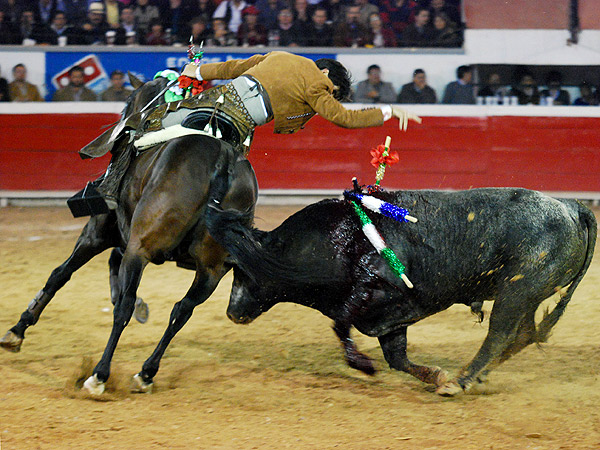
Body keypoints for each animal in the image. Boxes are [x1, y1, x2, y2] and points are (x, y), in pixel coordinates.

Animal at [0, 73, 258, 394]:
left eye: (127, 101)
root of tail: (222, 160)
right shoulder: (125, 238)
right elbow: (111, 266)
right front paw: (142, 309)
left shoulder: (97, 233)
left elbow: (61, 274)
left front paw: (17, 331)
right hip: (211, 269)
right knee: (181, 311)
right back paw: (146, 373)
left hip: (142, 249)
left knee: (123, 308)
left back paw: (99, 375)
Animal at [206, 188, 596, 396]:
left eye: (242, 270)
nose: (232, 312)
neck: (338, 239)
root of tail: (570, 206)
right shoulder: (388, 319)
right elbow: (395, 357)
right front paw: (433, 374)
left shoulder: (379, 299)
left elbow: (342, 327)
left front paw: (365, 365)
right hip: (527, 295)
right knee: (525, 333)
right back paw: (474, 376)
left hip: (516, 292)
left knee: (499, 334)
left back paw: (462, 380)